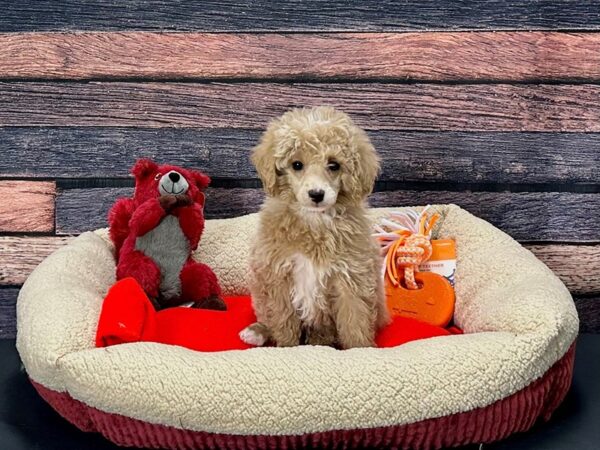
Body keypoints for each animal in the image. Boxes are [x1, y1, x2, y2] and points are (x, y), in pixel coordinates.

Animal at [243, 105, 390, 348]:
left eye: (333, 165)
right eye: (297, 165)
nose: (316, 194)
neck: (314, 220)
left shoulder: (351, 275)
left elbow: (355, 318)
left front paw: (360, 349)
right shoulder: (278, 274)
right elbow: (284, 319)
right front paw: (287, 347)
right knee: (267, 318)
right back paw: (256, 331)